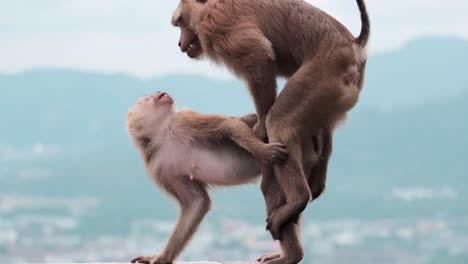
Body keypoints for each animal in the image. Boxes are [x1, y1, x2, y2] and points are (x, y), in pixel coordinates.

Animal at [128, 91, 288, 264]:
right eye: (146, 99)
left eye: (149, 96)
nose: (159, 92)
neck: (165, 136)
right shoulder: (161, 169)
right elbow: (195, 202)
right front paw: (161, 258)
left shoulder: (184, 120)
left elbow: (229, 125)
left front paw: (264, 151)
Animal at [171, 0, 370, 260]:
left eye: (181, 23)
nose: (179, 42)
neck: (207, 10)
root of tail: (354, 47)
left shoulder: (218, 26)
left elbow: (258, 56)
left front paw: (261, 124)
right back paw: (315, 184)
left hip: (323, 75)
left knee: (281, 121)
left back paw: (298, 199)